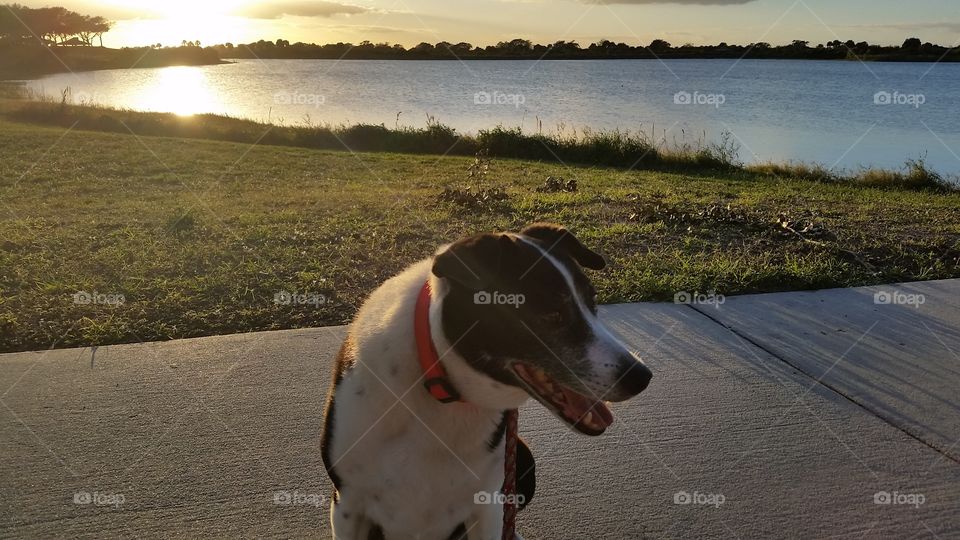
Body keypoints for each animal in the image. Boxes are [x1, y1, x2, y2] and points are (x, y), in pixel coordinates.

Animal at [322, 223, 652, 540]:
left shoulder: (486, 504)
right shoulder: (347, 504)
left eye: (593, 303)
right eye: (550, 315)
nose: (642, 377)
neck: (441, 388)